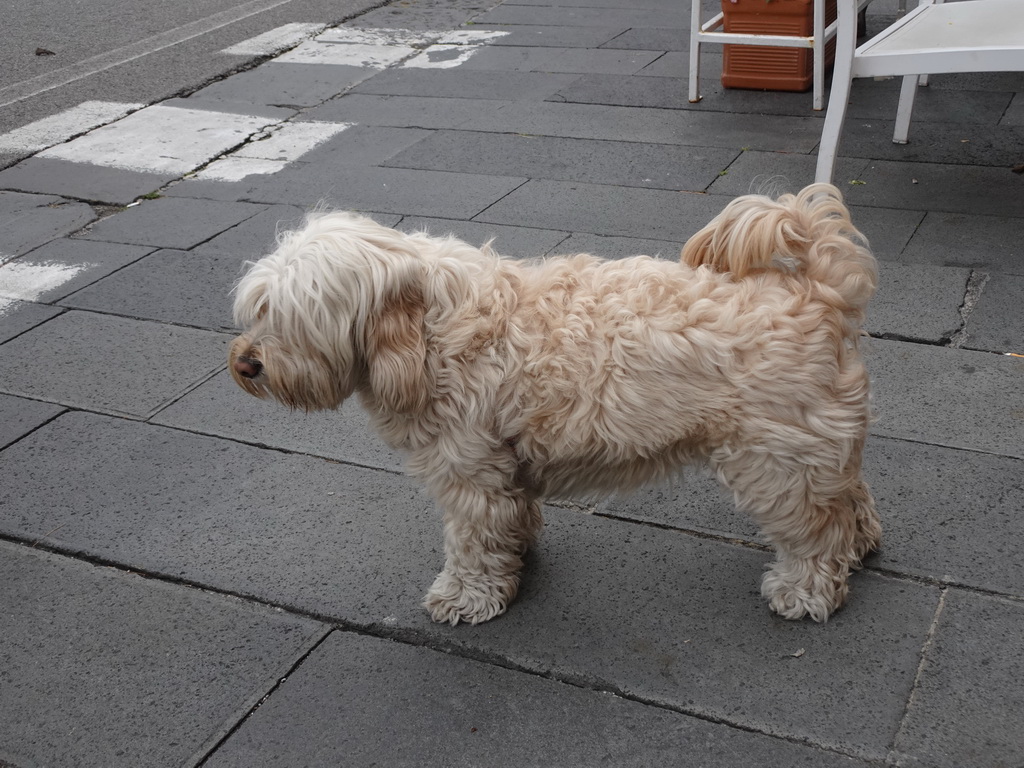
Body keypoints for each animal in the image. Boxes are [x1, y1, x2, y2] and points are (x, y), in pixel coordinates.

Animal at [230, 185, 880, 626]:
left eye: (291, 319)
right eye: (257, 310)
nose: (244, 362)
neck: (429, 334)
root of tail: (817, 288)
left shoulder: (469, 474)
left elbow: (471, 542)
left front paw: (464, 596)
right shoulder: (503, 468)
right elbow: (511, 521)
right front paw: (516, 560)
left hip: (775, 461)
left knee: (819, 529)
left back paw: (806, 590)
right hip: (813, 444)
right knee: (851, 498)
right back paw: (862, 545)